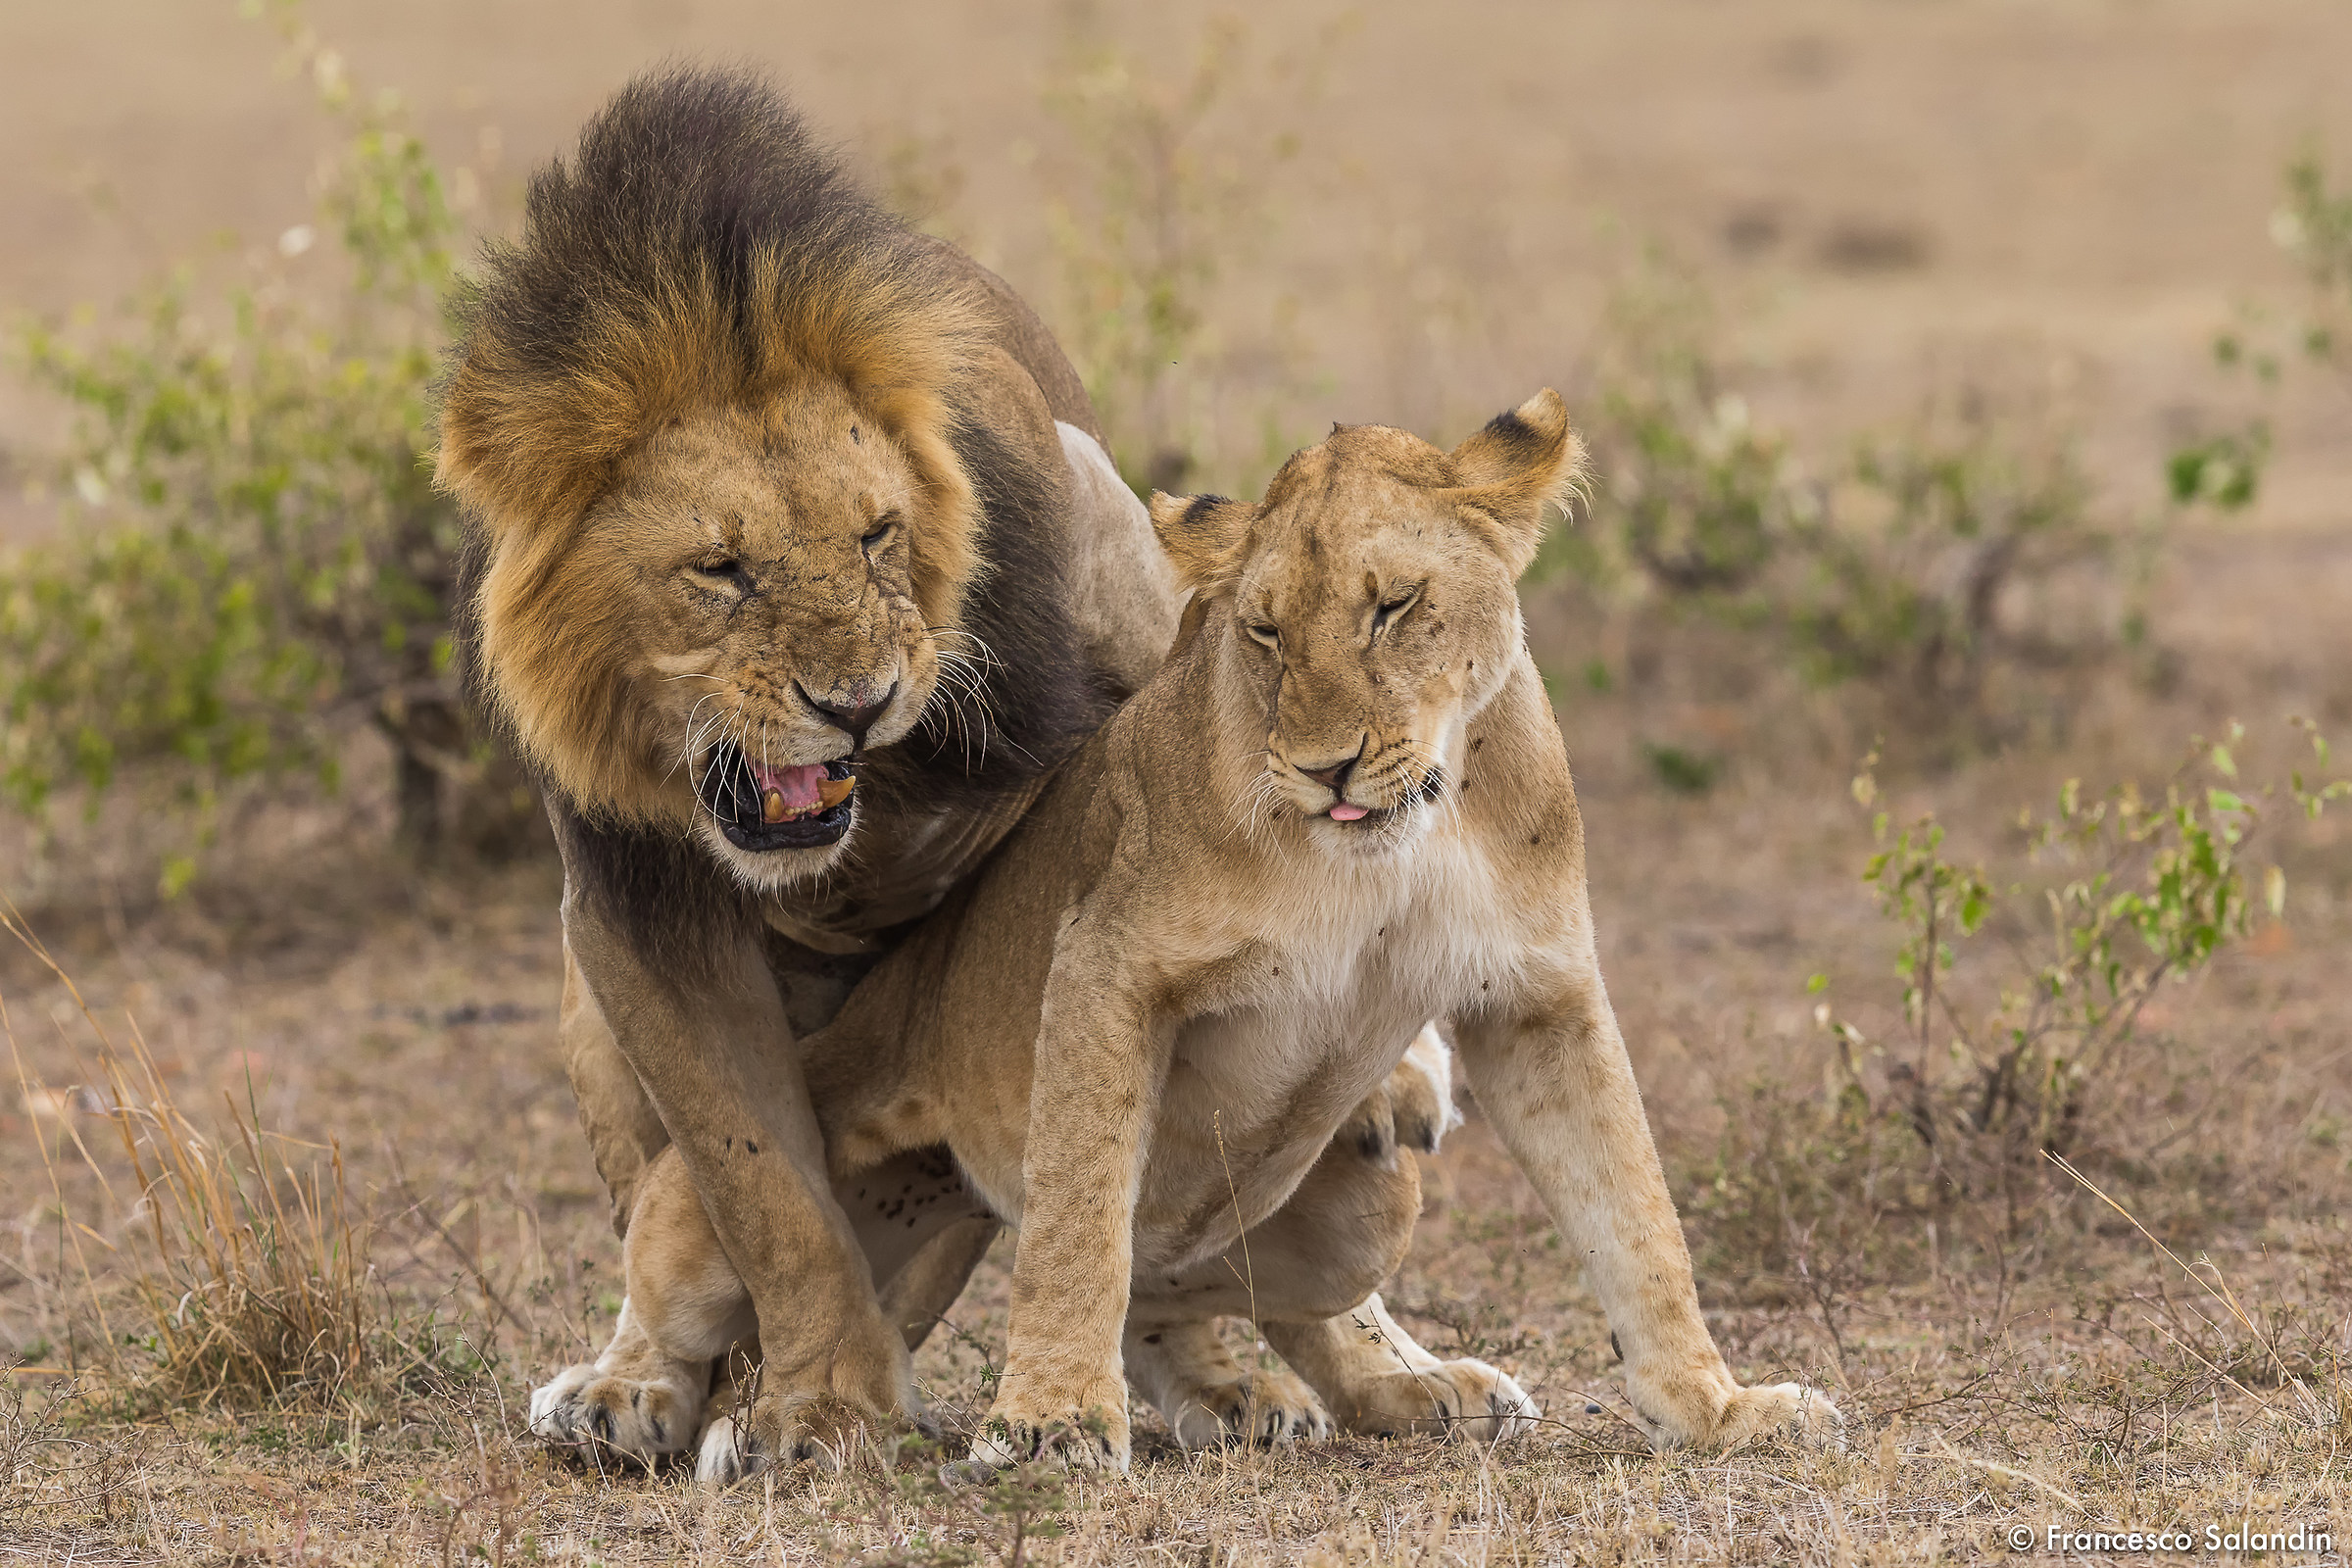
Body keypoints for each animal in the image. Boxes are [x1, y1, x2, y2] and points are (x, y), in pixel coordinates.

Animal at [438, 66, 1441, 1470]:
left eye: (876, 535)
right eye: (720, 568)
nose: (854, 704)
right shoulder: (636, 910)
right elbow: (760, 1182)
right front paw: (825, 1401)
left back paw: (1339, 1367)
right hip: (590, 1005)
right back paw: (629, 1387)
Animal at [592, 390, 1842, 1479]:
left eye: (1394, 605)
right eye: (1266, 632)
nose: (1327, 766)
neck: (1398, 849)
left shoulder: (1539, 996)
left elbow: (1637, 1218)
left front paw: (1719, 1409)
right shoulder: (1105, 963)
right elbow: (1081, 1212)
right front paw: (1049, 1424)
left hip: (1369, 1209)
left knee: (1200, 1291)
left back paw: (1364, 1389)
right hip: (733, 1184)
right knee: (691, 1289)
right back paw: (625, 1404)